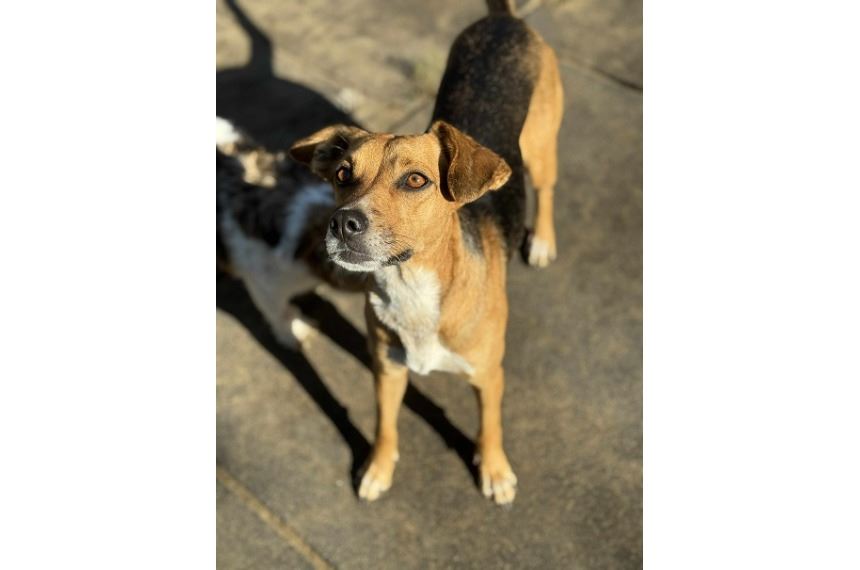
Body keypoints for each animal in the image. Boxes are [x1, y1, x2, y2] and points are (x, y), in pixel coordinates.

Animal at [289, 0, 563, 505]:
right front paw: (378, 468)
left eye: (416, 180)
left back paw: (542, 242)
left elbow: (490, 426)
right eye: (342, 174)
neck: (413, 285)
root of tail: (503, 19)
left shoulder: (488, 375)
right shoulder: (385, 371)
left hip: (539, 148)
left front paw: (494, 470)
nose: (342, 222)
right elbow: (385, 425)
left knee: (547, 188)